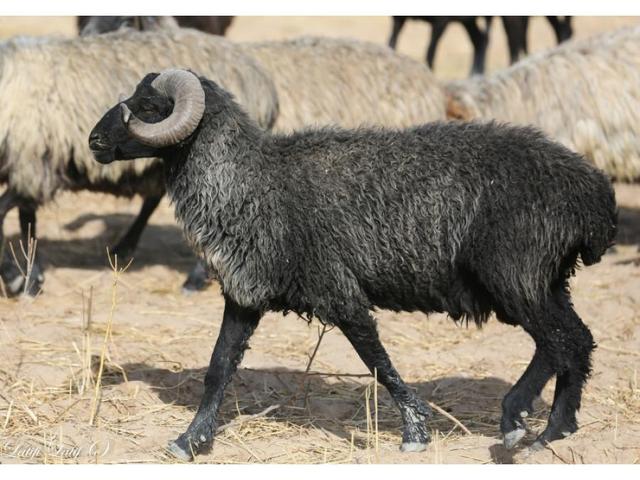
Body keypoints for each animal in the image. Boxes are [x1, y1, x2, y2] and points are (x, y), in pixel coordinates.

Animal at [0, 29, 279, 295]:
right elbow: (27, 221)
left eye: (148, 107)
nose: (94, 139)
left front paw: (16, 279)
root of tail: (263, 83)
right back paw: (123, 249)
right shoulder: (30, 169)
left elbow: (8, 214)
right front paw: (32, 278)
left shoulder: (32, 166)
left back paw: (193, 279)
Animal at [89, 68, 617, 460]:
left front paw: (415, 431)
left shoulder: (337, 291)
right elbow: (219, 366)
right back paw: (554, 428)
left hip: (515, 278)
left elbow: (376, 361)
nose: (94, 140)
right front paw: (190, 440)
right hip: (545, 281)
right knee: (575, 341)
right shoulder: (246, 294)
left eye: (148, 107)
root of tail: (594, 195)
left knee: (559, 342)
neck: (254, 180)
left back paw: (524, 425)